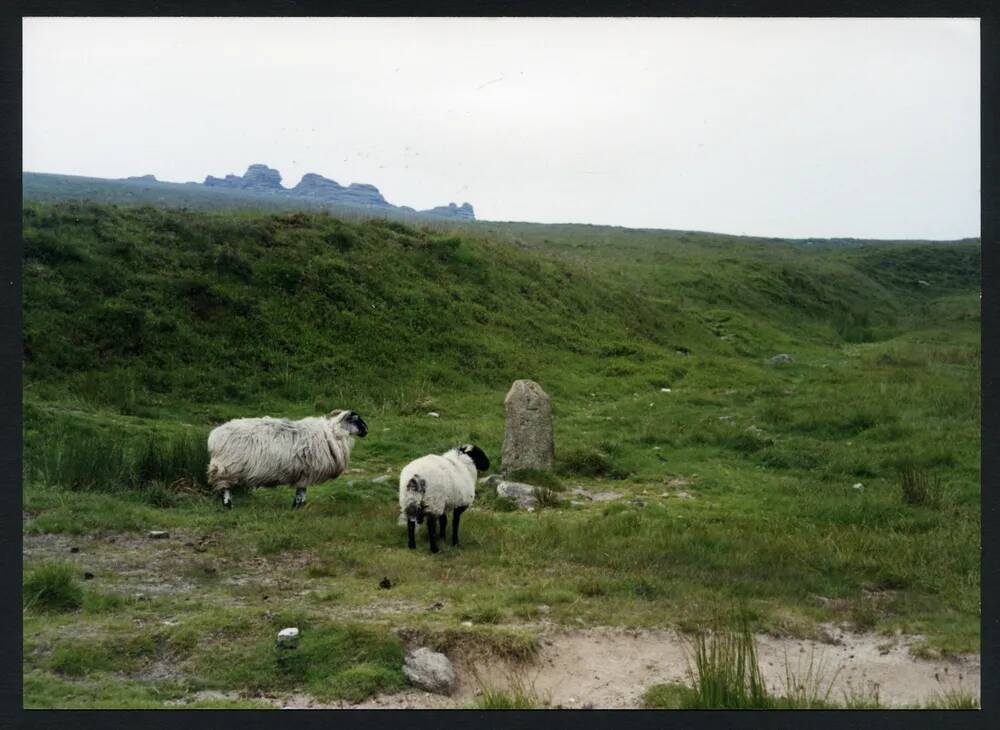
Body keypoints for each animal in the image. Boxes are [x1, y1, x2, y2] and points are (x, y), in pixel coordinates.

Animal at [207, 406, 368, 510]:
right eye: (356, 420)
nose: (367, 430)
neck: (334, 433)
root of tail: (214, 437)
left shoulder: (304, 472)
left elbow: (301, 492)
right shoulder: (307, 473)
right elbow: (301, 493)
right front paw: (297, 508)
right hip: (227, 469)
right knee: (225, 489)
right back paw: (228, 505)